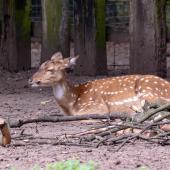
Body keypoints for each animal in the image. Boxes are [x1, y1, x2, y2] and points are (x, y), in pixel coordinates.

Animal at [28, 52, 170, 117]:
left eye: (50, 70)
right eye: (40, 66)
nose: (30, 80)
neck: (72, 101)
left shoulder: (98, 106)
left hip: (148, 91)